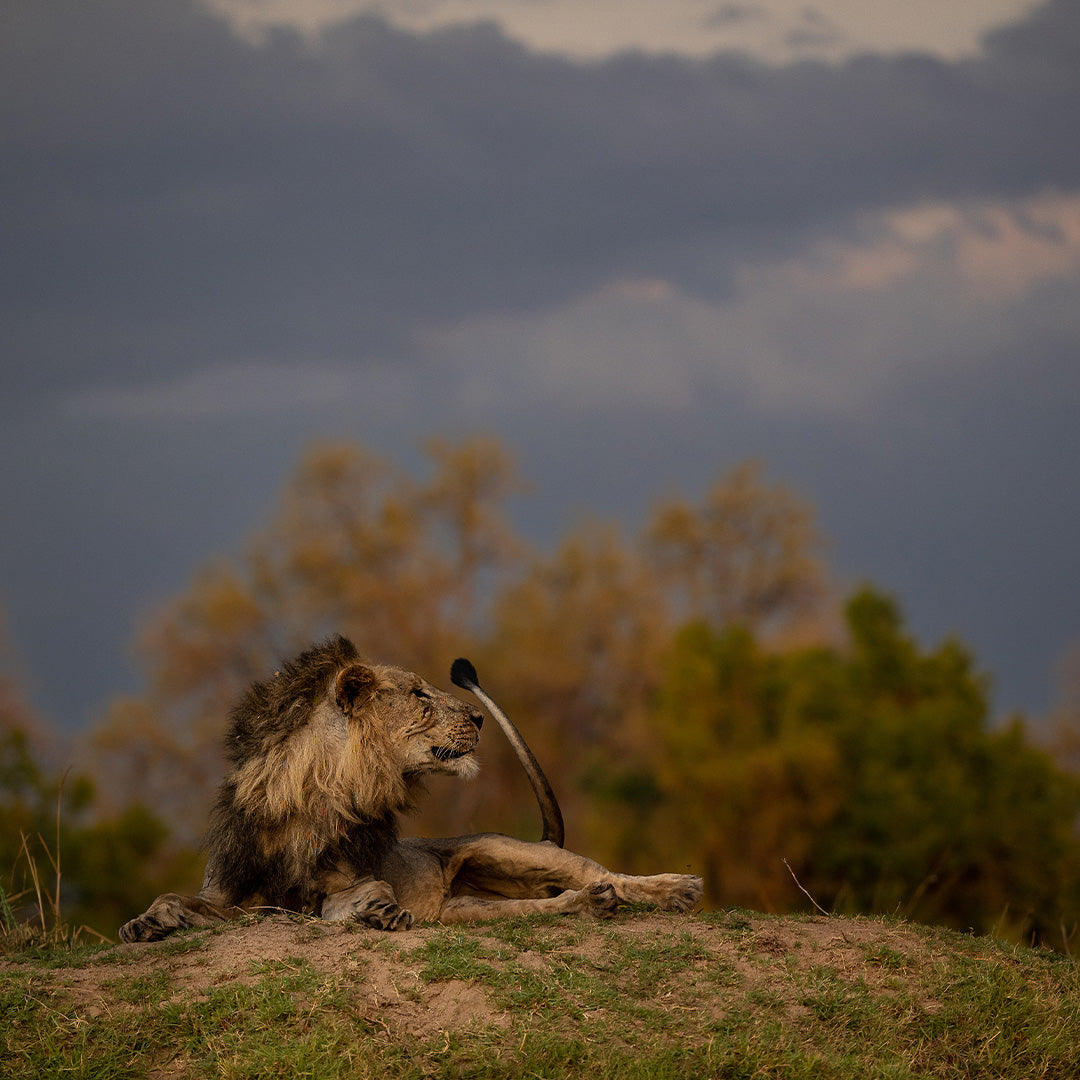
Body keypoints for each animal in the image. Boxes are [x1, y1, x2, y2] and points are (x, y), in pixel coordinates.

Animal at [119, 636, 702, 942]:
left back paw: (675, 889)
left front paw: (377, 909)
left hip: (510, 850)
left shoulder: (341, 881)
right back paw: (589, 906)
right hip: (465, 910)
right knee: (542, 907)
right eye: (419, 694)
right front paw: (144, 922)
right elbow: (175, 897)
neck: (308, 796)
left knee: (605, 873)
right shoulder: (229, 895)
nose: (477, 718)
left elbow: (356, 892)